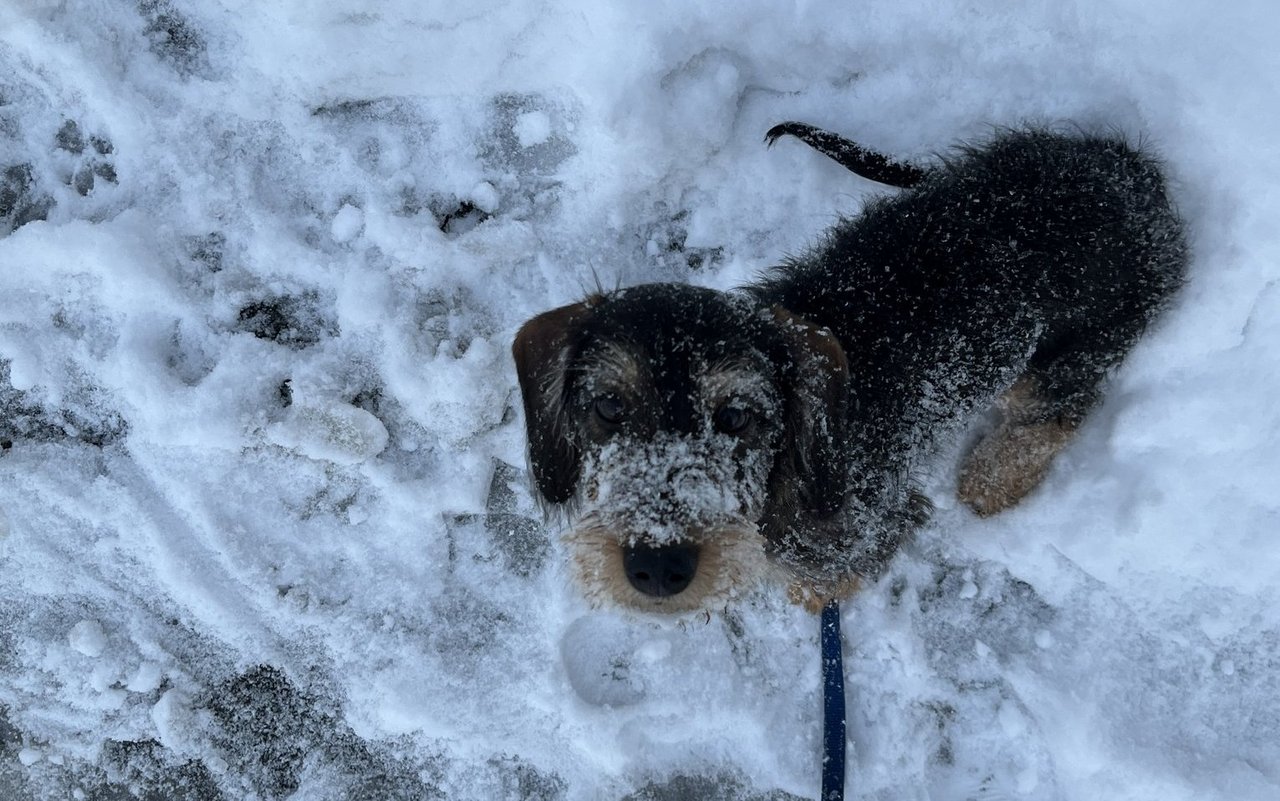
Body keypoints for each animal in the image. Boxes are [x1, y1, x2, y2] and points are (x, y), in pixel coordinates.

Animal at [512, 123, 1187, 611]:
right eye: (607, 406)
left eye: (737, 416)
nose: (657, 567)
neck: (788, 475)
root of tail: (1130, 176)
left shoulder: (872, 525)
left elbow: (826, 581)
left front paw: (813, 599)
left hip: (1070, 351)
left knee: (1060, 409)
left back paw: (991, 479)